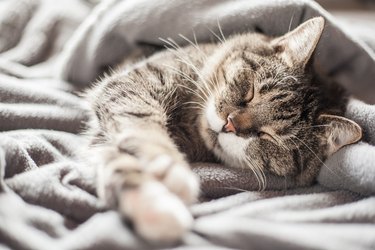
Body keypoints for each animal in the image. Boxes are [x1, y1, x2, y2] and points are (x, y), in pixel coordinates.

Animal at [84, 17, 362, 242]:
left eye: (268, 136)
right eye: (251, 92)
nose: (230, 124)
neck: (190, 126)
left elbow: (120, 161)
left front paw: (153, 205)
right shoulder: (131, 85)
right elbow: (142, 130)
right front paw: (165, 171)